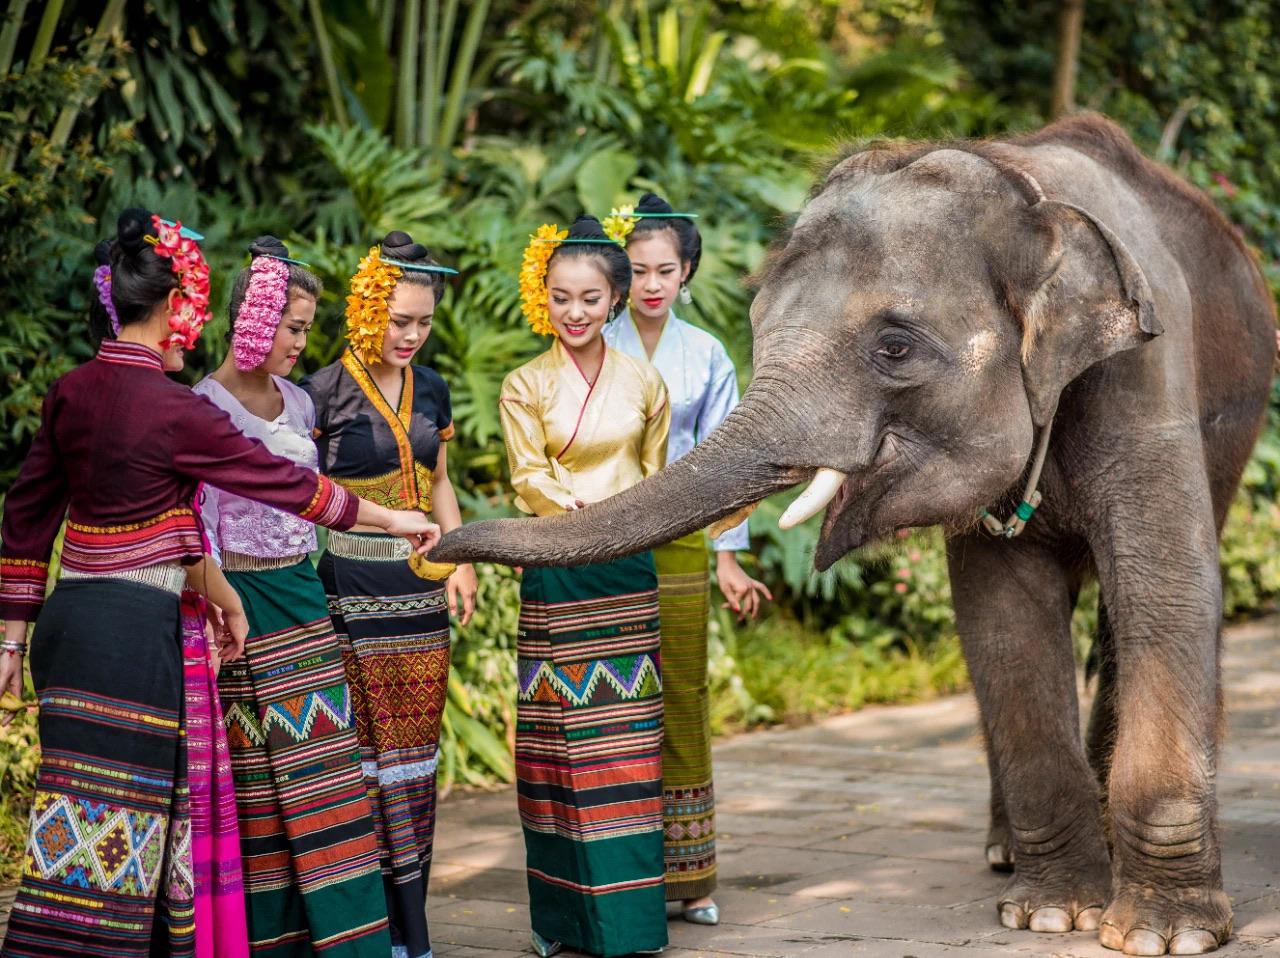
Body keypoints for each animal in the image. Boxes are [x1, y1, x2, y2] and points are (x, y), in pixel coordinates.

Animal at [432, 115, 1280, 952]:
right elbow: (1003, 620)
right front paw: (1049, 915)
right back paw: (1006, 856)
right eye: (756, 325)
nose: (434, 549)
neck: (1019, 188)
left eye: (895, 347)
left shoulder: (1148, 379)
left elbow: (1168, 595)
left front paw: (1162, 934)